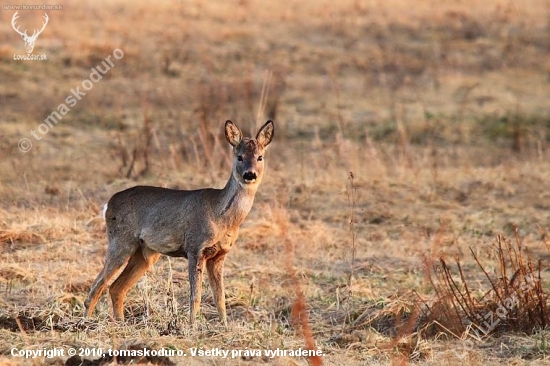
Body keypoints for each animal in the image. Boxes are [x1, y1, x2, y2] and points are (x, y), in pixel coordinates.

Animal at [84, 120, 276, 326]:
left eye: (260, 157)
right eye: (239, 157)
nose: (250, 175)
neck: (222, 217)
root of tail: (108, 204)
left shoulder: (220, 255)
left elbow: (220, 297)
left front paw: (224, 326)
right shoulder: (195, 247)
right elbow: (195, 296)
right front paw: (192, 326)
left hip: (145, 253)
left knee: (116, 288)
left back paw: (120, 323)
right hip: (121, 241)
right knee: (97, 287)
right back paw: (85, 323)